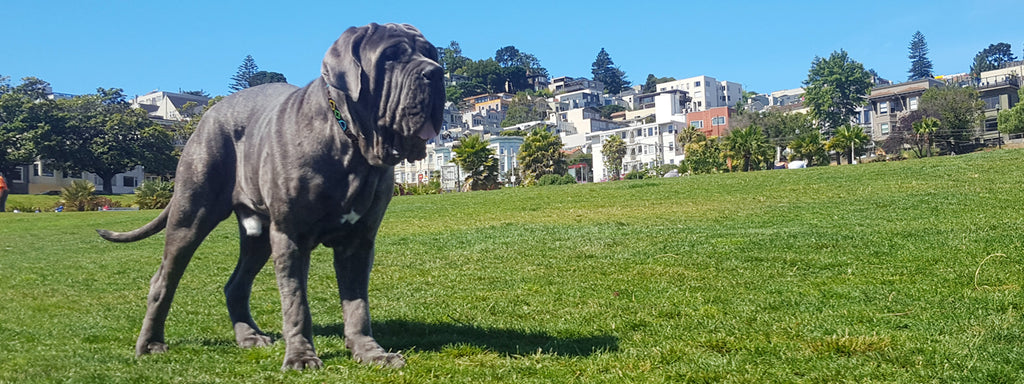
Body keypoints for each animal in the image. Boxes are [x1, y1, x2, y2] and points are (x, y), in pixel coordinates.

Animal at [97, 22, 442, 370]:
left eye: (430, 53)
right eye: (390, 57)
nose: (436, 73)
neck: (350, 145)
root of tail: (207, 114)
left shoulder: (359, 241)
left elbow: (357, 303)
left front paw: (370, 352)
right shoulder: (290, 236)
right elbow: (297, 303)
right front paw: (301, 357)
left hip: (258, 236)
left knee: (235, 285)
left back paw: (248, 336)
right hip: (191, 216)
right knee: (163, 280)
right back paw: (151, 343)